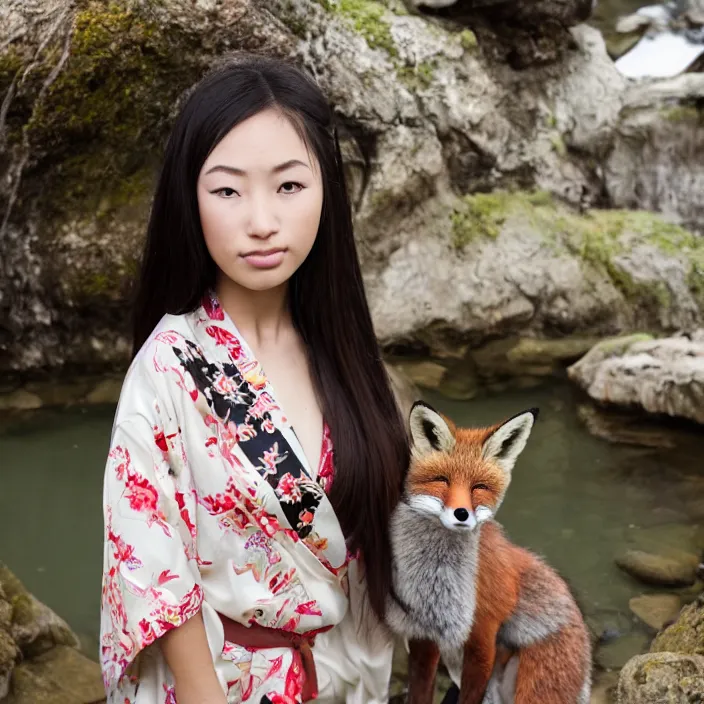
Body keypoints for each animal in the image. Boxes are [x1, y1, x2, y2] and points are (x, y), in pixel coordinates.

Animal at [388, 402, 592, 704]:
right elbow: (419, 692)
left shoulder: (482, 636)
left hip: (533, 690)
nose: (461, 514)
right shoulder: (425, 635)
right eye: (443, 481)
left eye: (479, 487)